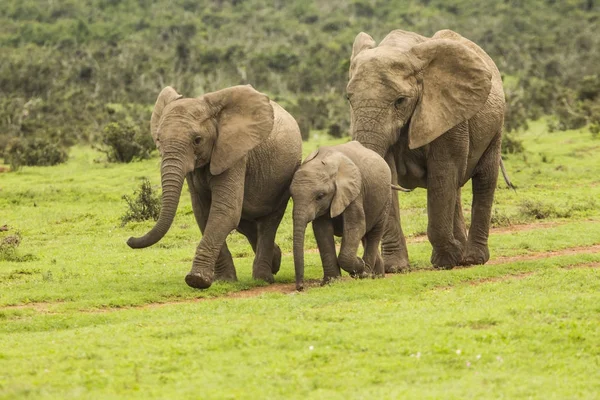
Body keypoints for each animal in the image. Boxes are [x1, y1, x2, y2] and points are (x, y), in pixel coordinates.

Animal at [128, 86, 302, 290]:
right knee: (246, 224)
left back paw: (263, 278)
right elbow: (204, 212)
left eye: (197, 140)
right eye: (158, 139)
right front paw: (223, 280)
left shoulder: (234, 154)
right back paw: (275, 261)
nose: (130, 240)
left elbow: (224, 211)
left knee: (269, 221)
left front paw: (196, 280)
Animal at [290, 141, 404, 290]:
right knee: (366, 235)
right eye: (291, 196)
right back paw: (377, 275)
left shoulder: (355, 192)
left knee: (374, 233)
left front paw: (358, 267)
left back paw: (366, 273)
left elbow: (355, 227)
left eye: (320, 196)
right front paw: (331, 282)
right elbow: (322, 231)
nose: (300, 287)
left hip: (385, 199)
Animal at [346, 29, 506, 270]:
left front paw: (445, 261)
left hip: (495, 130)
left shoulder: (448, 114)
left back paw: (471, 259)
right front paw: (396, 268)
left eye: (400, 101)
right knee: (455, 189)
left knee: (484, 181)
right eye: (349, 99)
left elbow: (443, 172)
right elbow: (389, 172)